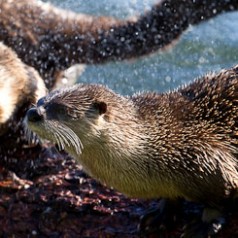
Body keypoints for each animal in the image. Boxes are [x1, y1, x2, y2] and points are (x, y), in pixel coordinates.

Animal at [25, 65, 238, 236]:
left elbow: (220, 199)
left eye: (64, 109)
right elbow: (171, 198)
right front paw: (160, 215)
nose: (33, 112)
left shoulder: (208, 159)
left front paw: (205, 224)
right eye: (41, 101)